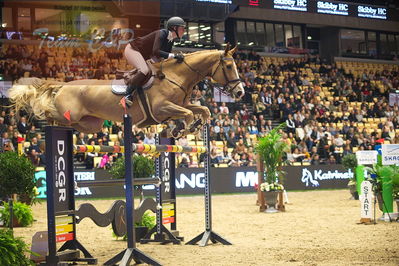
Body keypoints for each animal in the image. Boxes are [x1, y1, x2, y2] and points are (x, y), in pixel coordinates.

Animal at [9, 44, 244, 136]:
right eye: (229, 66)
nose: (241, 92)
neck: (177, 76)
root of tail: (63, 85)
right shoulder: (162, 108)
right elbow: (186, 114)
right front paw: (182, 129)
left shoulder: (179, 104)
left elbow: (203, 110)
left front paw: (194, 125)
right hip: (70, 114)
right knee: (49, 113)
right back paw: (39, 120)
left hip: (90, 124)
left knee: (71, 124)